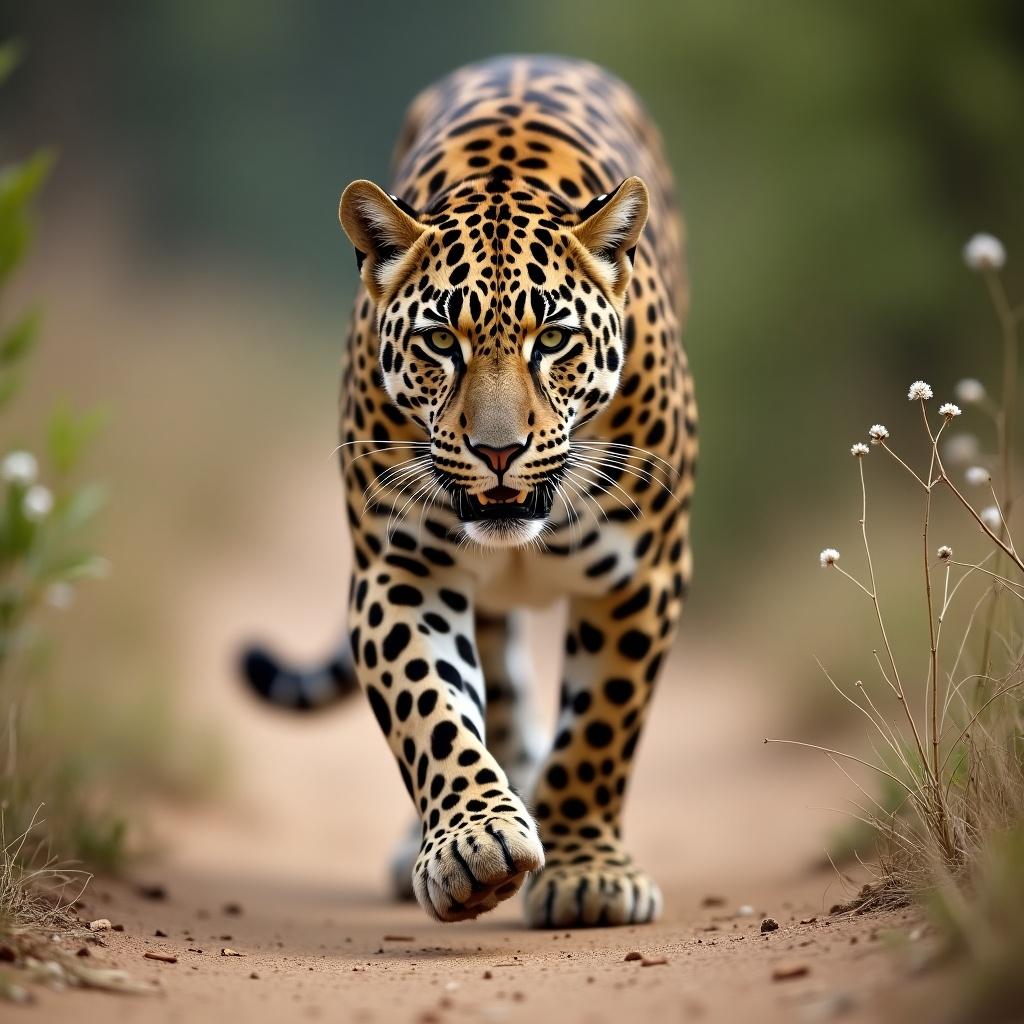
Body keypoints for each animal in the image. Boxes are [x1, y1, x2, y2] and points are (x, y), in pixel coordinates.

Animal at [243, 56, 700, 933]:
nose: (497, 451)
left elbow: (601, 727)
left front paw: (589, 873)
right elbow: (430, 708)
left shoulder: (644, 573)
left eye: (551, 339)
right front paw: (473, 844)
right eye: (438, 343)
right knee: (500, 679)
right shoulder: (400, 568)